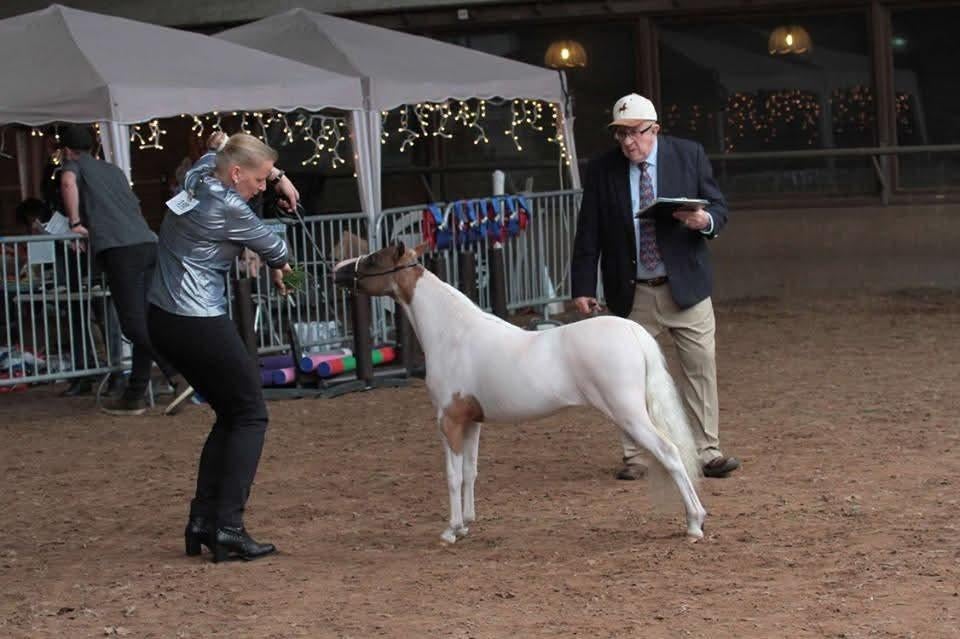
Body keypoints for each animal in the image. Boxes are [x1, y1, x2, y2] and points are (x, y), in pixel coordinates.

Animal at [333, 242, 707, 543]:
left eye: (372, 259)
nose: (336, 270)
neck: (452, 333)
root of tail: (633, 331)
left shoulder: (449, 421)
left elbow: (452, 476)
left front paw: (450, 530)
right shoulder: (472, 422)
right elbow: (469, 471)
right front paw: (466, 524)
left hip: (630, 415)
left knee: (670, 452)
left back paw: (694, 523)